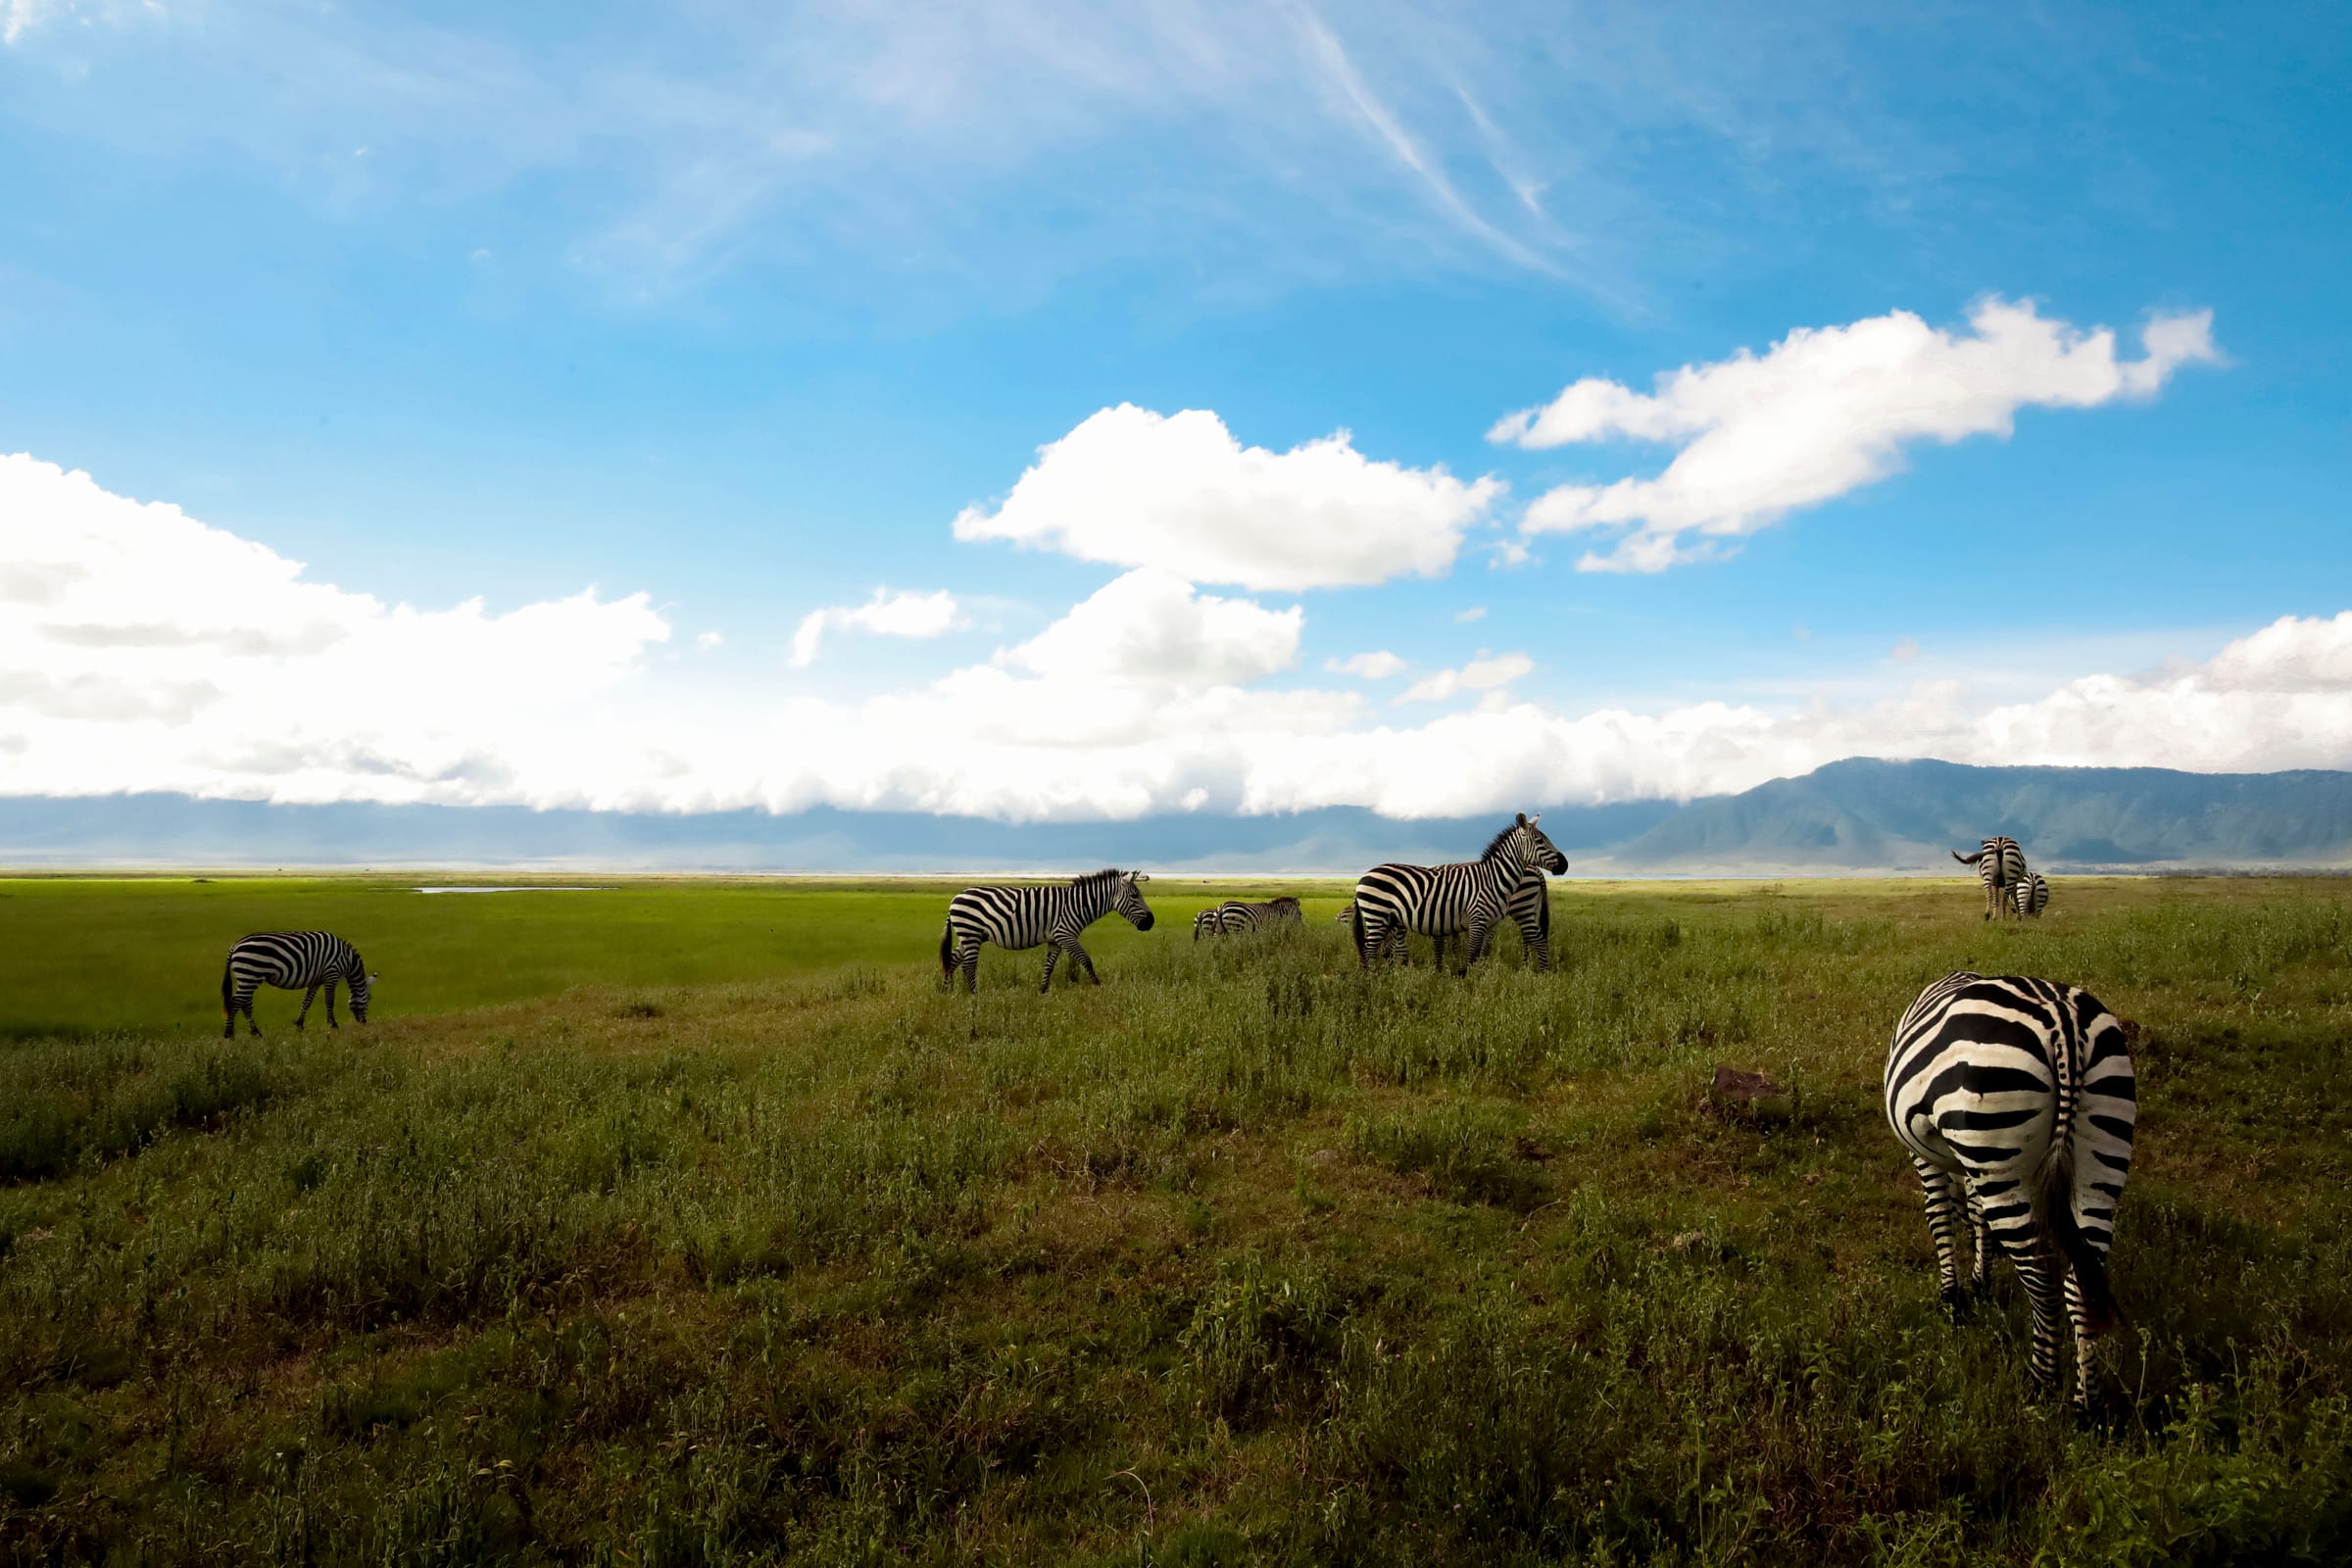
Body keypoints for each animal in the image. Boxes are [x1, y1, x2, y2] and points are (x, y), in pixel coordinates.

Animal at [221, 931, 375, 1038]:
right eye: (369, 999)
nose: (364, 1023)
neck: (348, 961)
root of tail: (235, 945)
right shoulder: (332, 973)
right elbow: (329, 1001)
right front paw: (333, 1024)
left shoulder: (316, 980)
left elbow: (307, 1001)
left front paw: (299, 1025)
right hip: (250, 974)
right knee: (235, 1002)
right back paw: (229, 1034)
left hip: (247, 977)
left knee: (245, 1003)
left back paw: (255, 1033)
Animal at [938, 869, 1156, 993]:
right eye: (1135, 896)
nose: (1151, 922)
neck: (1078, 905)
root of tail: (954, 898)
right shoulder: (1065, 934)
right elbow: (1086, 960)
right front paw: (1097, 985)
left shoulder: (1055, 939)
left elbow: (1049, 966)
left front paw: (1042, 990)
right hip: (971, 934)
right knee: (968, 966)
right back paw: (975, 994)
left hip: (969, 936)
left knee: (953, 960)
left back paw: (945, 990)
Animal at [1352, 814, 1568, 973]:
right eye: (1540, 841)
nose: (1565, 864)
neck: (1493, 877)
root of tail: (1363, 877)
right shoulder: (1476, 920)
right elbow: (1470, 954)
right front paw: (1466, 982)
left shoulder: (1488, 923)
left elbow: (1477, 953)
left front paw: (1476, 978)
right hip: (1378, 916)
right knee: (1369, 949)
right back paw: (1372, 980)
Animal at [1884, 971, 2138, 1411]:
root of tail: (2063, 1021)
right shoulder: (1973, 1163)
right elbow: (1976, 1214)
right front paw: (1980, 1280)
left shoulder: (1925, 1152)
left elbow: (1940, 1217)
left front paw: (1952, 1297)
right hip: (2101, 1153)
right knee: (2080, 1282)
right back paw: (2085, 1405)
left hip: (1998, 1138)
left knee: (2042, 1279)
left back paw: (2042, 1382)